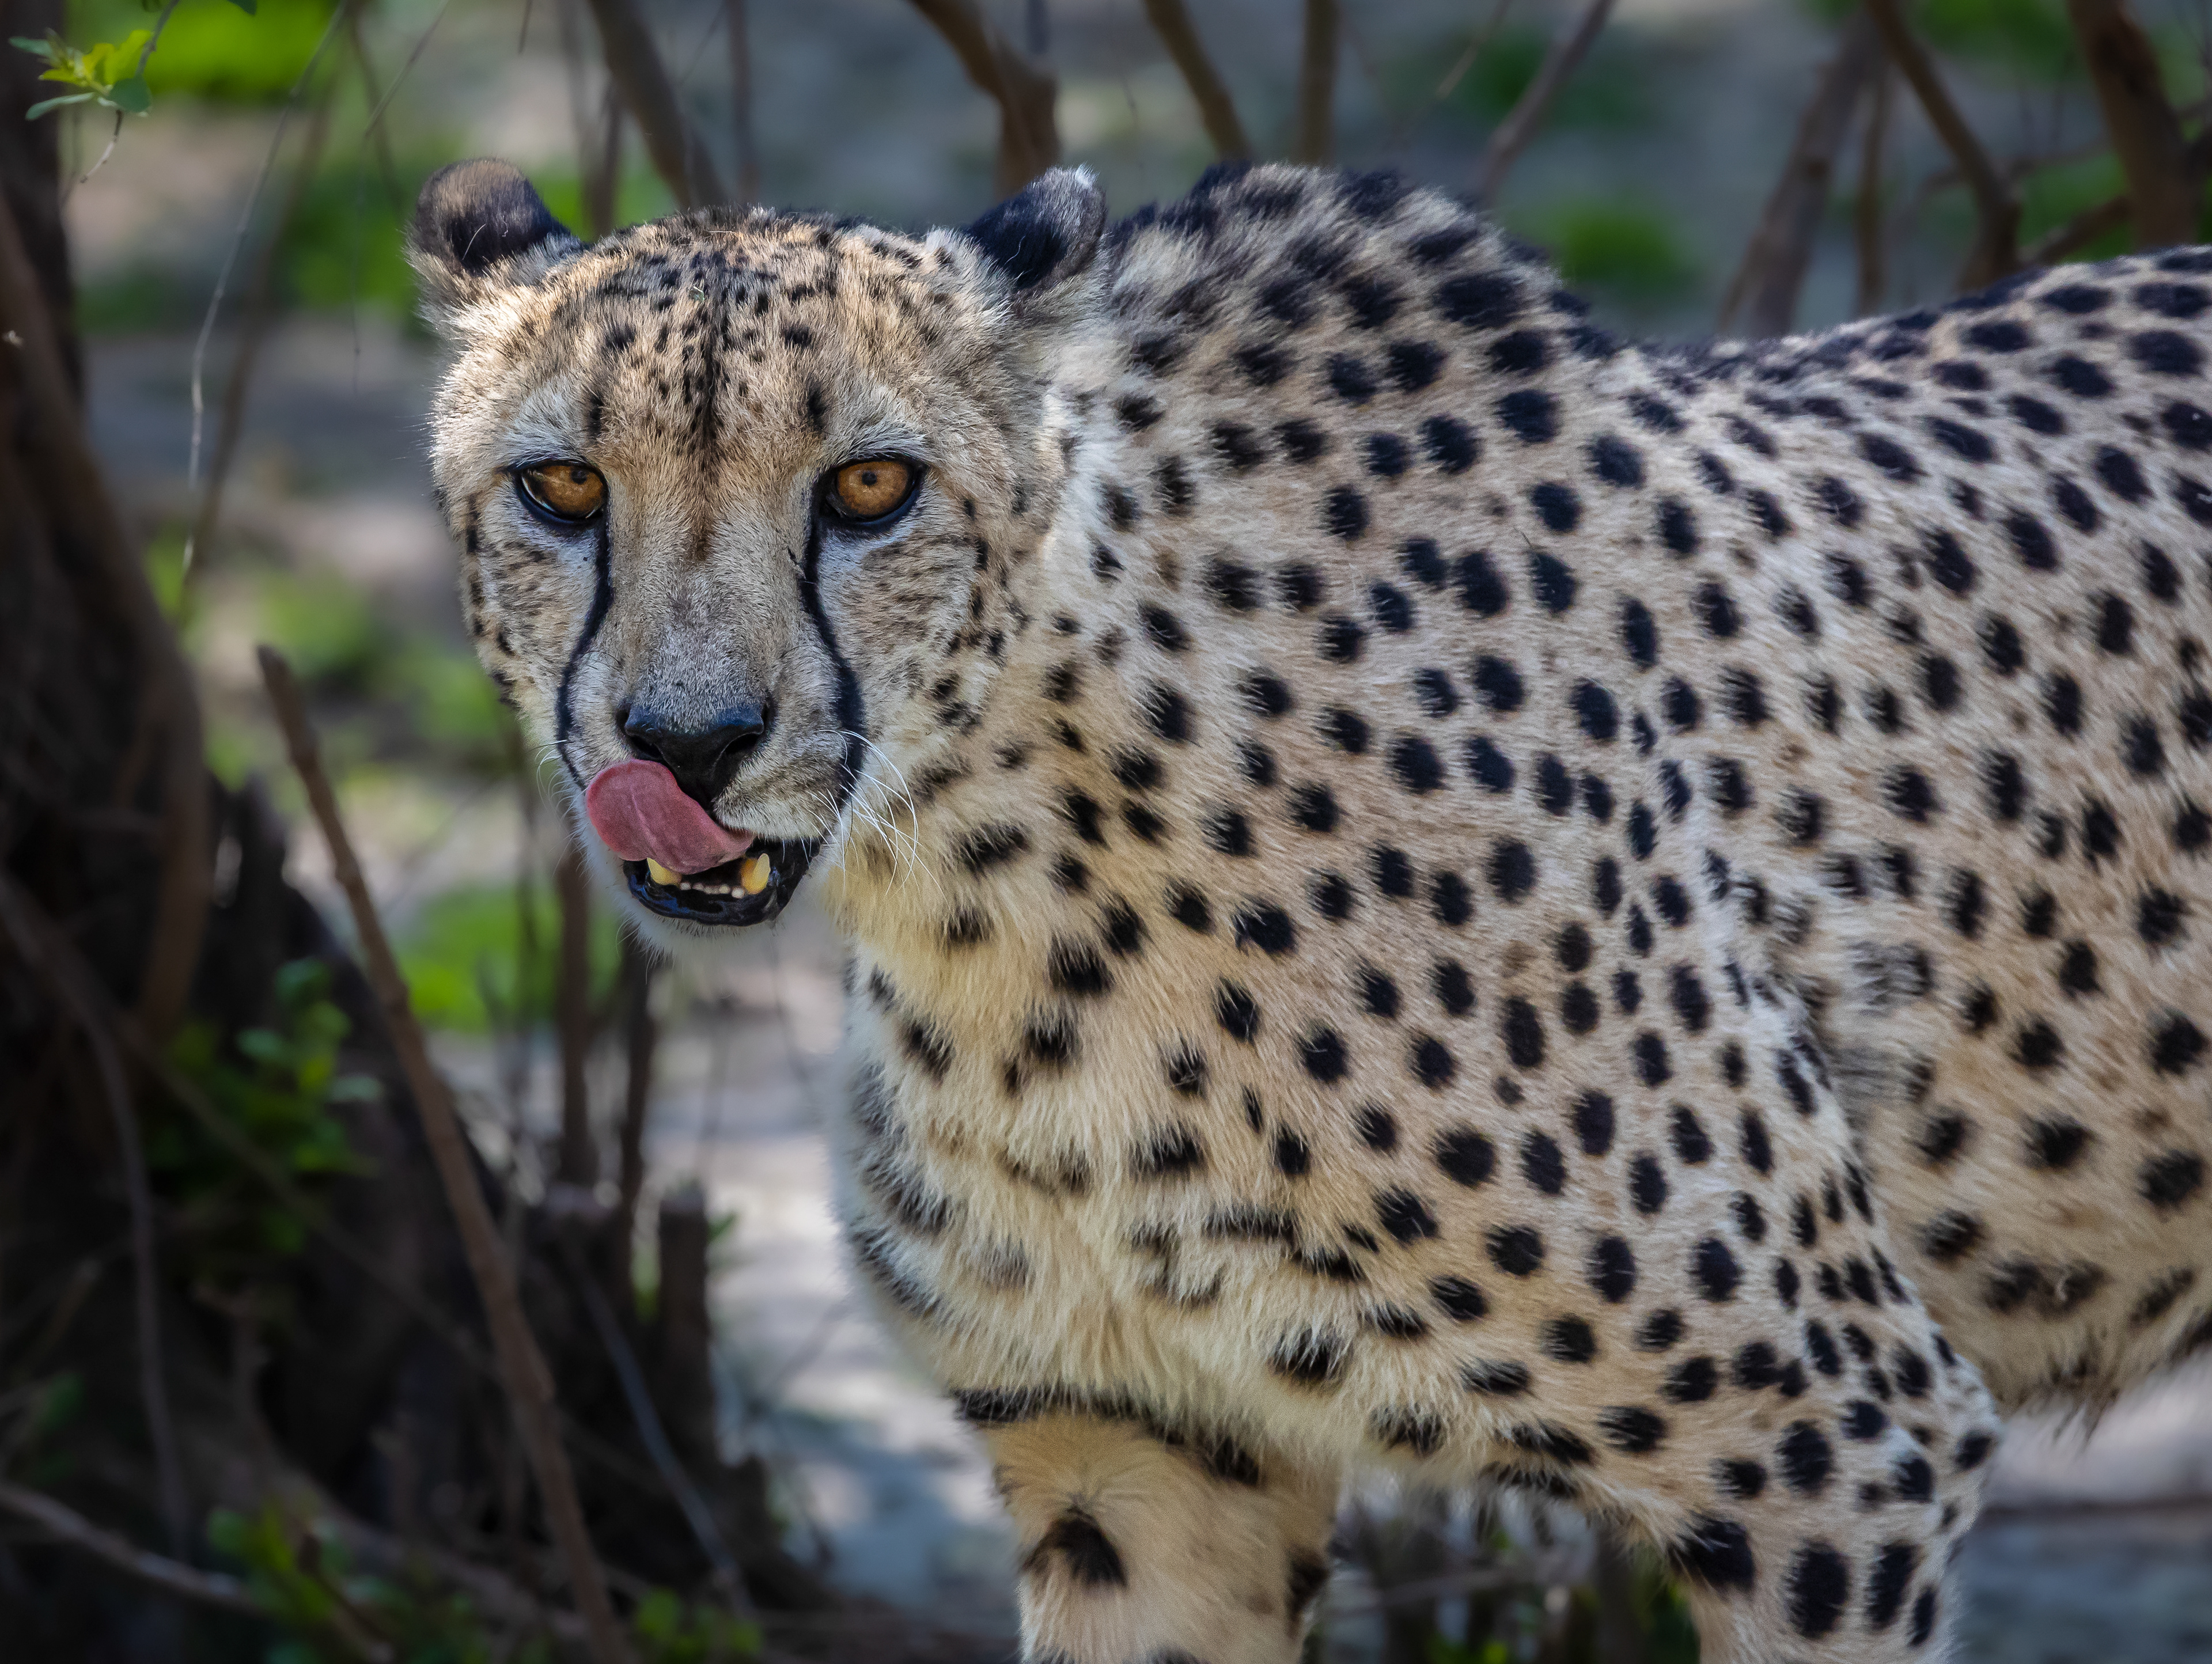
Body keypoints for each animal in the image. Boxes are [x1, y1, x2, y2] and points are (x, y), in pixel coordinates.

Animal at [409, 154, 2212, 1663]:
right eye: (563, 489)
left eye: (868, 488)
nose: (686, 741)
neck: (998, 881)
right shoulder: (1144, 1448)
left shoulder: (1837, 1446)